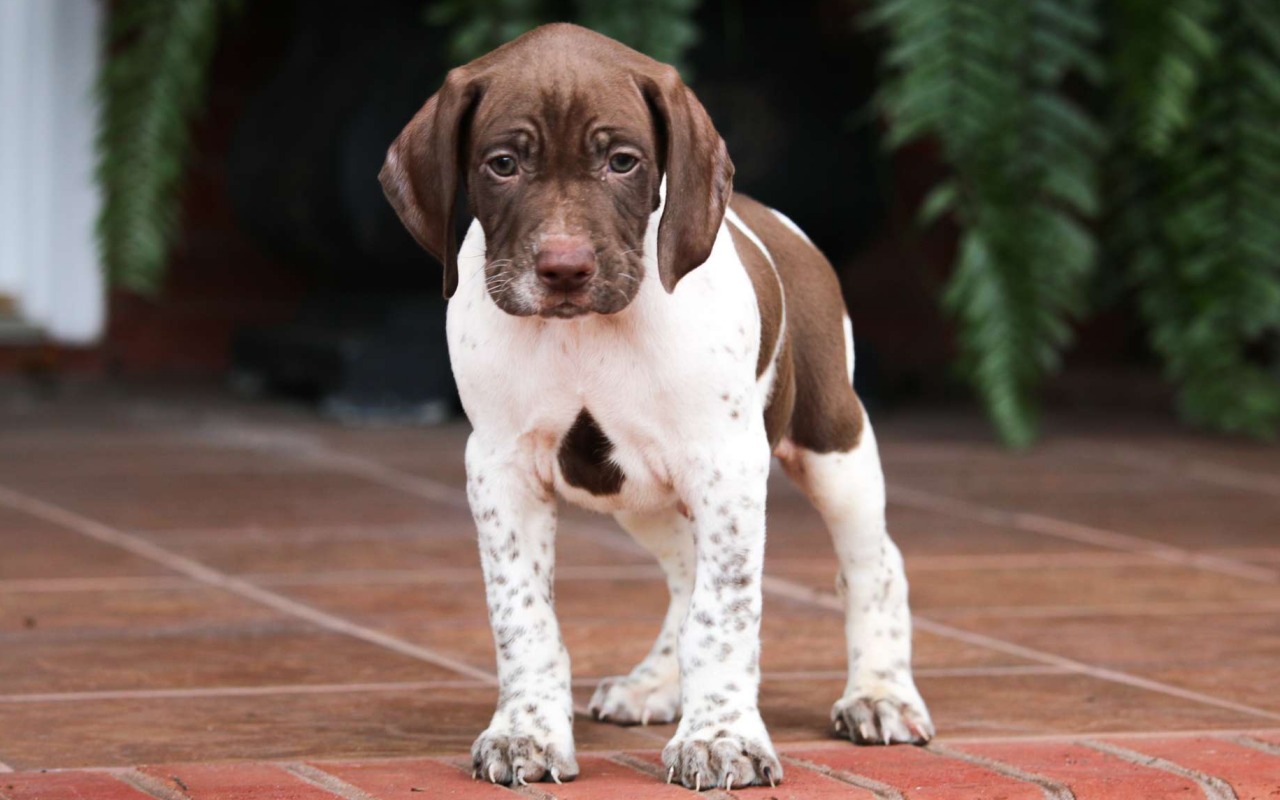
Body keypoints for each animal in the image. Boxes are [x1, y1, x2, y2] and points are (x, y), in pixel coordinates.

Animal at [376, 23, 931, 788]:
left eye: (622, 162)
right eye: (502, 164)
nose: (565, 268)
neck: (584, 334)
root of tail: (771, 217)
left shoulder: (727, 466)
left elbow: (724, 614)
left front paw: (722, 737)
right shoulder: (499, 469)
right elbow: (523, 617)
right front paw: (526, 732)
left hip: (834, 445)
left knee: (875, 564)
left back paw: (879, 694)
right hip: (642, 498)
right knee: (685, 573)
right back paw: (657, 684)